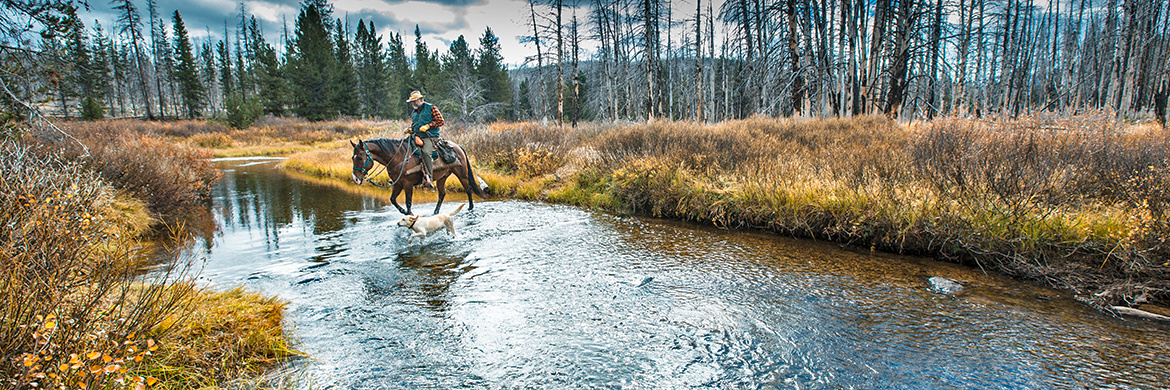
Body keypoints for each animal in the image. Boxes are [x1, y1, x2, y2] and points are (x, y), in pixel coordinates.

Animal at [351, 136, 489, 215]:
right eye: (353, 157)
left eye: (359, 158)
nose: (355, 179)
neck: (399, 157)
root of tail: (457, 146)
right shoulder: (398, 184)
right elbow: (392, 199)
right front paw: (403, 212)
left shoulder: (407, 184)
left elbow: (408, 202)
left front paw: (409, 215)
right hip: (442, 177)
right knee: (442, 193)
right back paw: (435, 211)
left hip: (461, 174)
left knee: (468, 189)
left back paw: (470, 208)